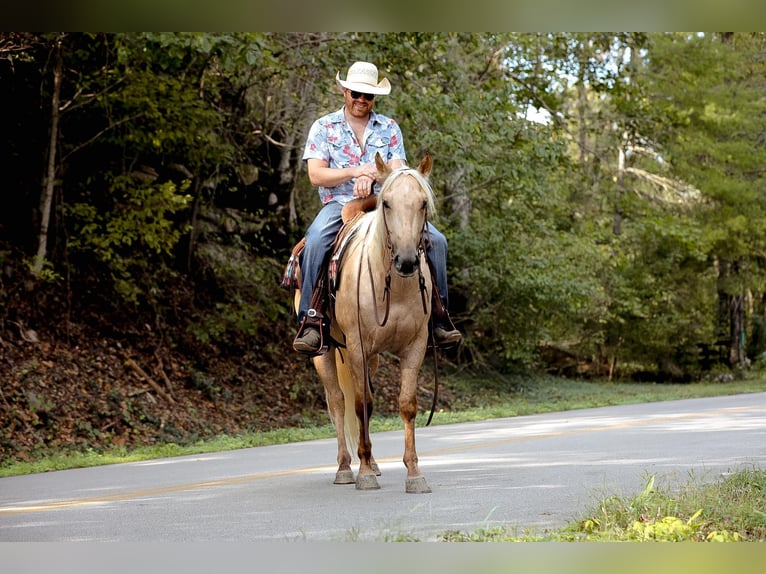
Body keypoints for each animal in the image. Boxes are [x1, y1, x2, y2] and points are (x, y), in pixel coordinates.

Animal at [296, 153, 436, 496]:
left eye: (423, 203)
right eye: (386, 203)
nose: (407, 261)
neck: (393, 288)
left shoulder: (415, 346)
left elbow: (406, 405)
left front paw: (414, 473)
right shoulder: (357, 345)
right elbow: (359, 404)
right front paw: (364, 475)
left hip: (369, 357)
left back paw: (370, 462)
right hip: (325, 353)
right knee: (338, 402)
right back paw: (346, 467)